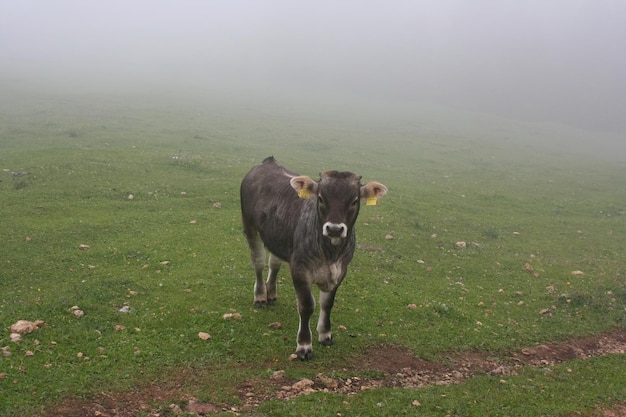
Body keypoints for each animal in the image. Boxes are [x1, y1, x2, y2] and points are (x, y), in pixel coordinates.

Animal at [239, 156, 386, 358]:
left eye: (354, 201)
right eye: (321, 198)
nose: (334, 228)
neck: (330, 253)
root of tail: (267, 162)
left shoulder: (341, 270)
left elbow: (327, 303)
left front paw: (325, 334)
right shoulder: (300, 269)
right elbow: (307, 305)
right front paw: (304, 345)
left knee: (274, 263)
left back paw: (272, 293)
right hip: (249, 224)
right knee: (259, 262)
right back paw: (261, 296)